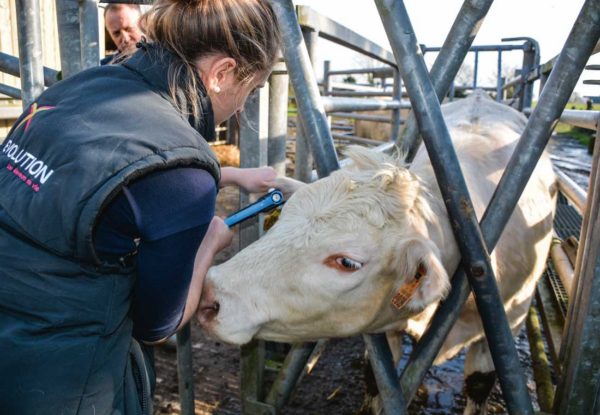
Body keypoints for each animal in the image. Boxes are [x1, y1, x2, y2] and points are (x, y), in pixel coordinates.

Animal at [199, 91, 556, 412]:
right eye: (284, 217)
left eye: (347, 262)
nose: (210, 293)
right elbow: (377, 378)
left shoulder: (507, 323)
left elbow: (479, 385)